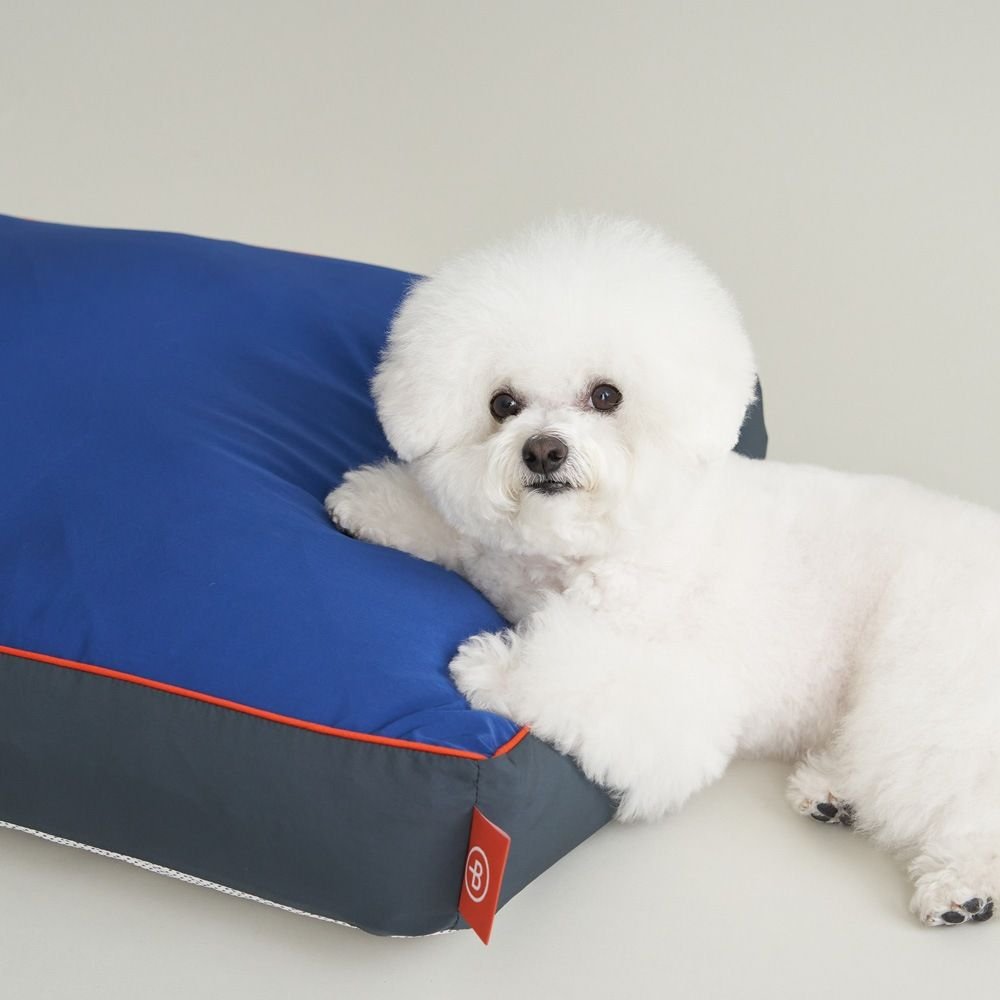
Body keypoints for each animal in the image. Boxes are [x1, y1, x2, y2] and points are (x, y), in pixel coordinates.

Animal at [326, 215, 1000, 927]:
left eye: (606, 395)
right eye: (502, 404)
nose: (543, 451)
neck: (592, 547)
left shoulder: (680, 695)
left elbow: (577, 674)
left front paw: (495, 666)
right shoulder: (502, 559)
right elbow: (462, 534)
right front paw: (372, 505)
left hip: (929, 680)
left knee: (956, 784)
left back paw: (962, 886)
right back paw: (833, 793)